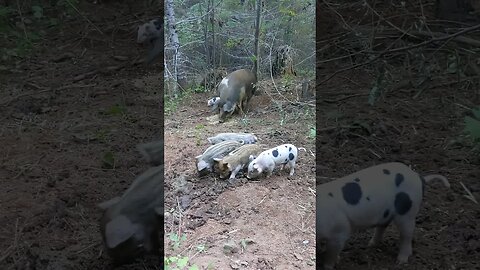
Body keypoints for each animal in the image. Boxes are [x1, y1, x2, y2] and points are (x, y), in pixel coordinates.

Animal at [316, 161, 448, 268]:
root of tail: (419, 177)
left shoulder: (340, 232)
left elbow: (332, 254)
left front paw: (329, 265)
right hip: (387, 213)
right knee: (383, 226)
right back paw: (370, 245)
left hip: (408, 211)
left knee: (406, 235)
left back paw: (401, 261)